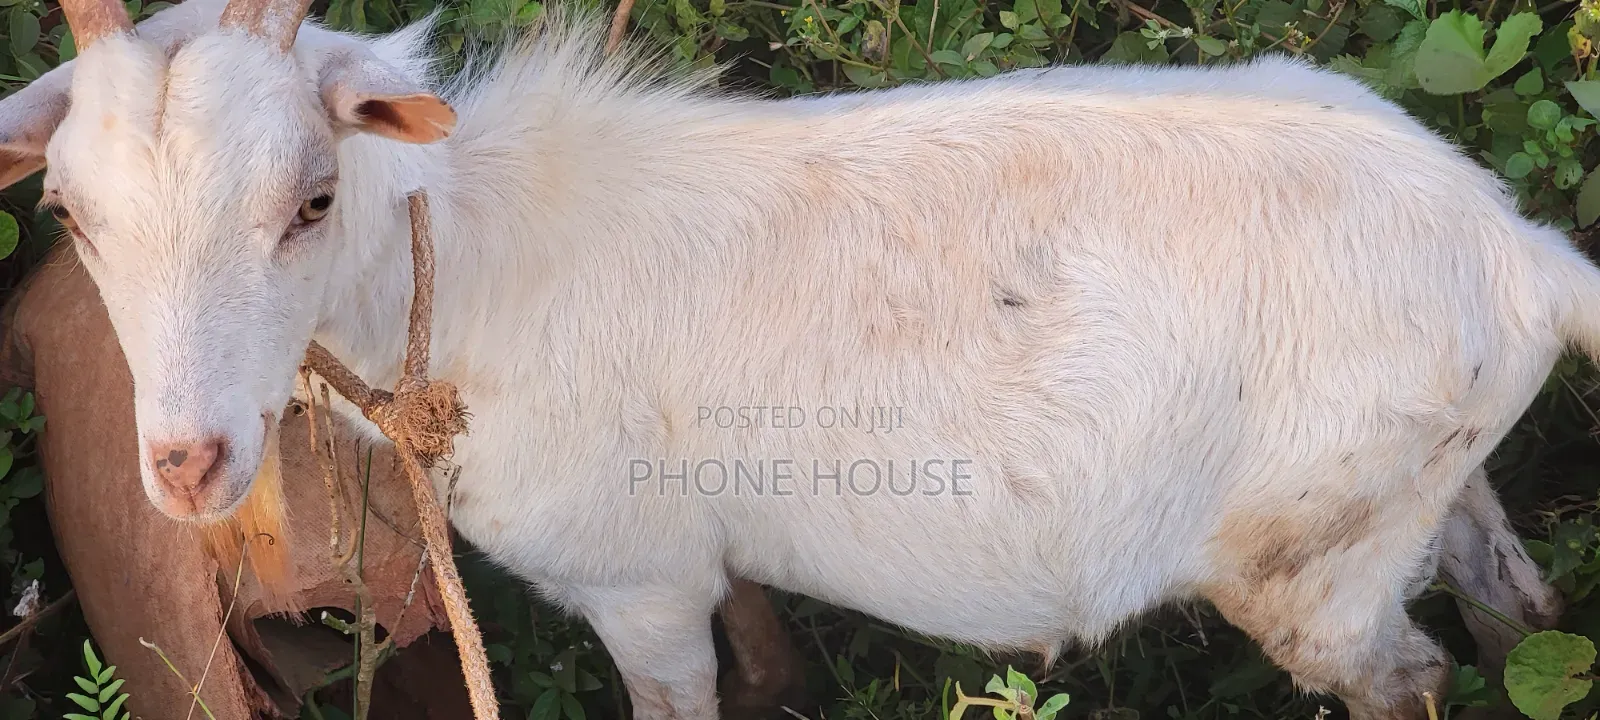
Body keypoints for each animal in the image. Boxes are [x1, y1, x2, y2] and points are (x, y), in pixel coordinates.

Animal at [0, 0, 1586, 715]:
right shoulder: (718, 553)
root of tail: (1526, 254)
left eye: (314, 199)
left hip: (1310, 561)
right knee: (1518, 607)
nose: (187, 464)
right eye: (69, 213)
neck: (478, 264)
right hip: (1421, 489)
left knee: (1403, 677)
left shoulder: (636, 579)